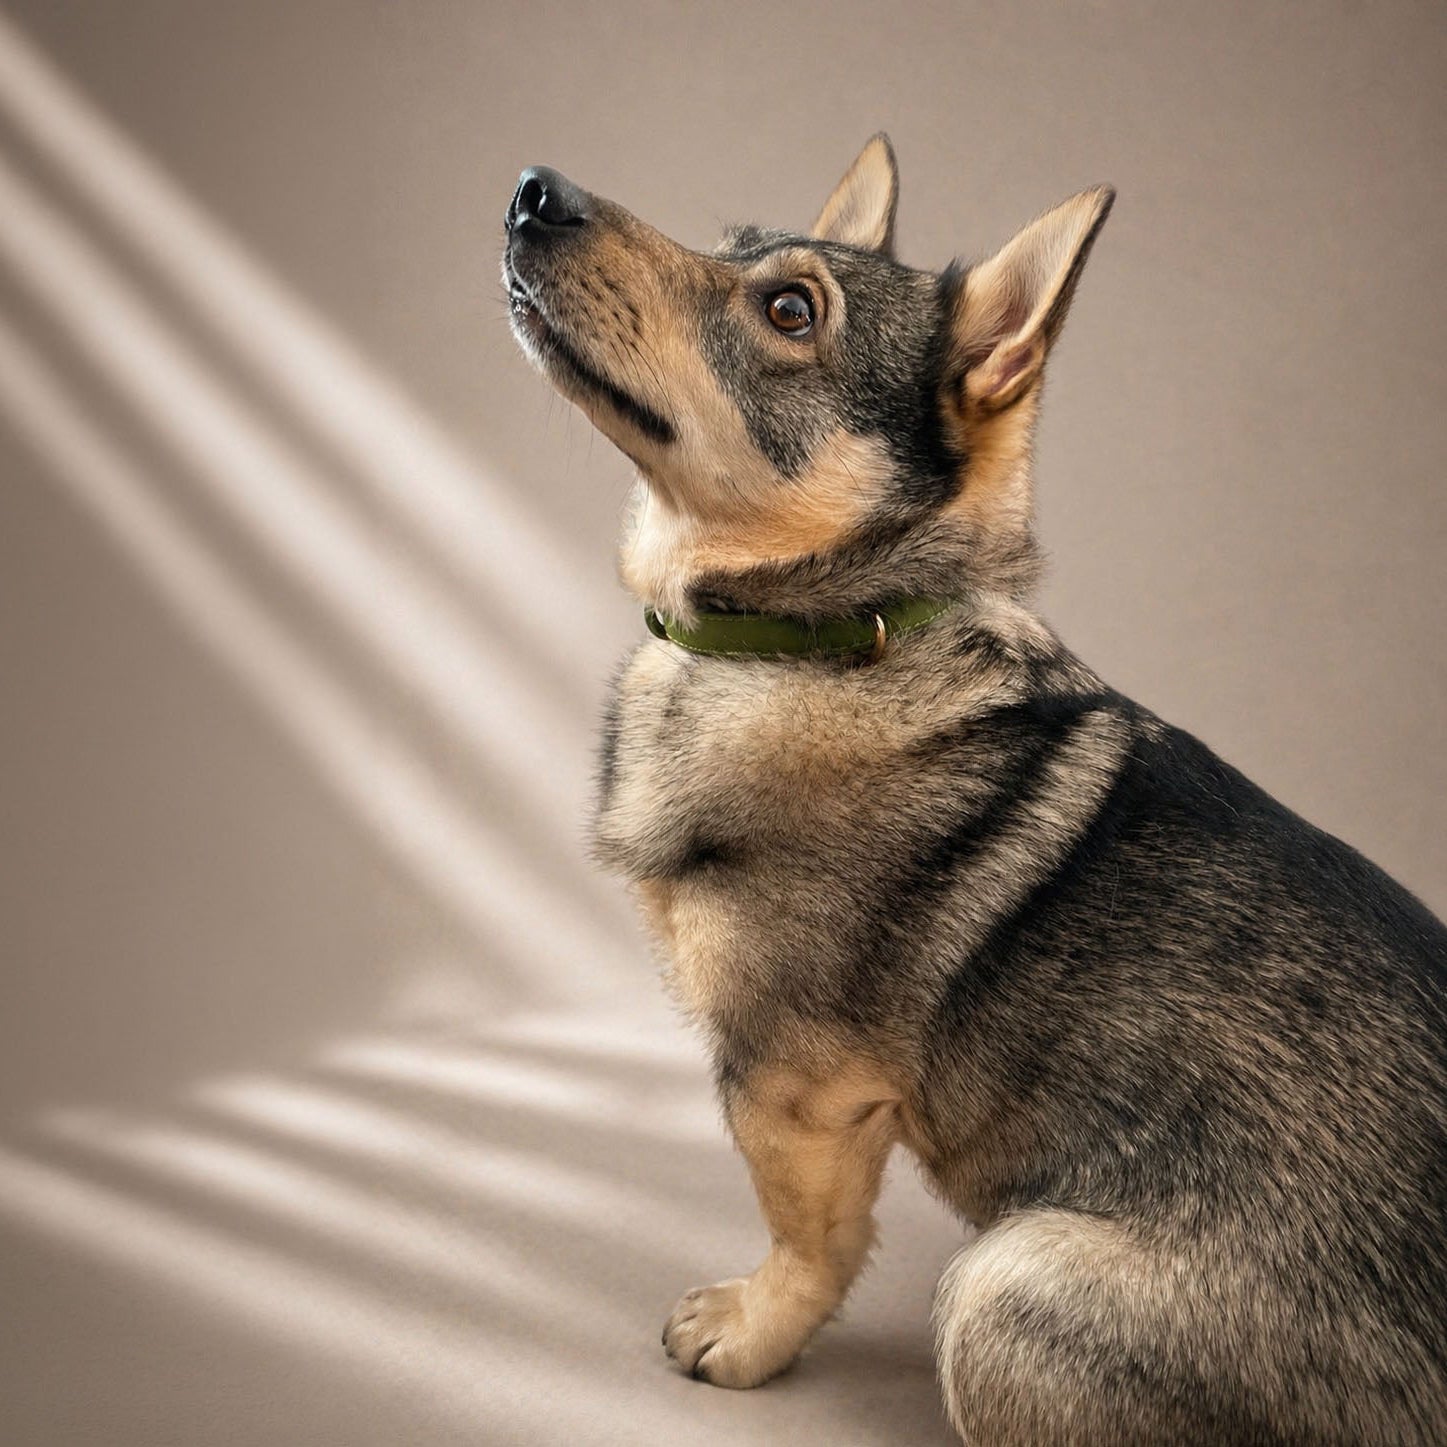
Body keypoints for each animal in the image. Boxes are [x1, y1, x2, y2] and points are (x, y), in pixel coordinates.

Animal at [503, 135, 1447, 1445]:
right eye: (729, 245)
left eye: (789, 311)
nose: (533, 192)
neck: (822, 636)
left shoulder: (792, 1091)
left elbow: (809, 1244)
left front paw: (750, 1335)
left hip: (1002, 1288)